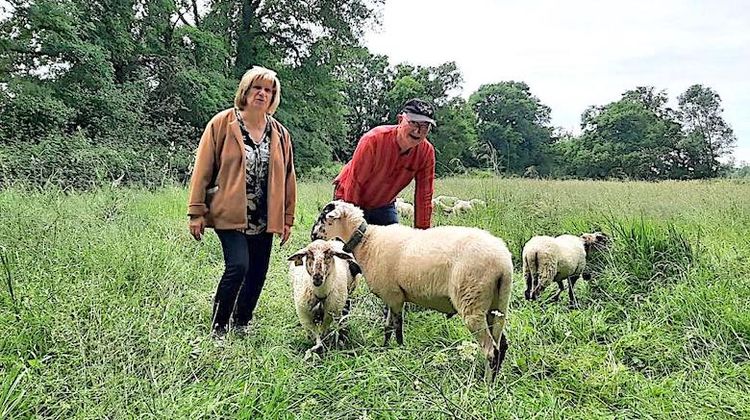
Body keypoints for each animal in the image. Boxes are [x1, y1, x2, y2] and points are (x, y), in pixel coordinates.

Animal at [308, 200, 516, 380]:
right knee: (501, 344)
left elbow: (397, 327)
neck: (367, 242)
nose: (313, 235)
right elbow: (388, 327)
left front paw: (400, 349)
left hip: (472, 302)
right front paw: (385, 349)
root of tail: (503, 263)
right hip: (497, 304)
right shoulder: (392, 296)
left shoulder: (394, 296)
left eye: (323, 217)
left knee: (490, 350)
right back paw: (494, 381)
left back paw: (486, 385)